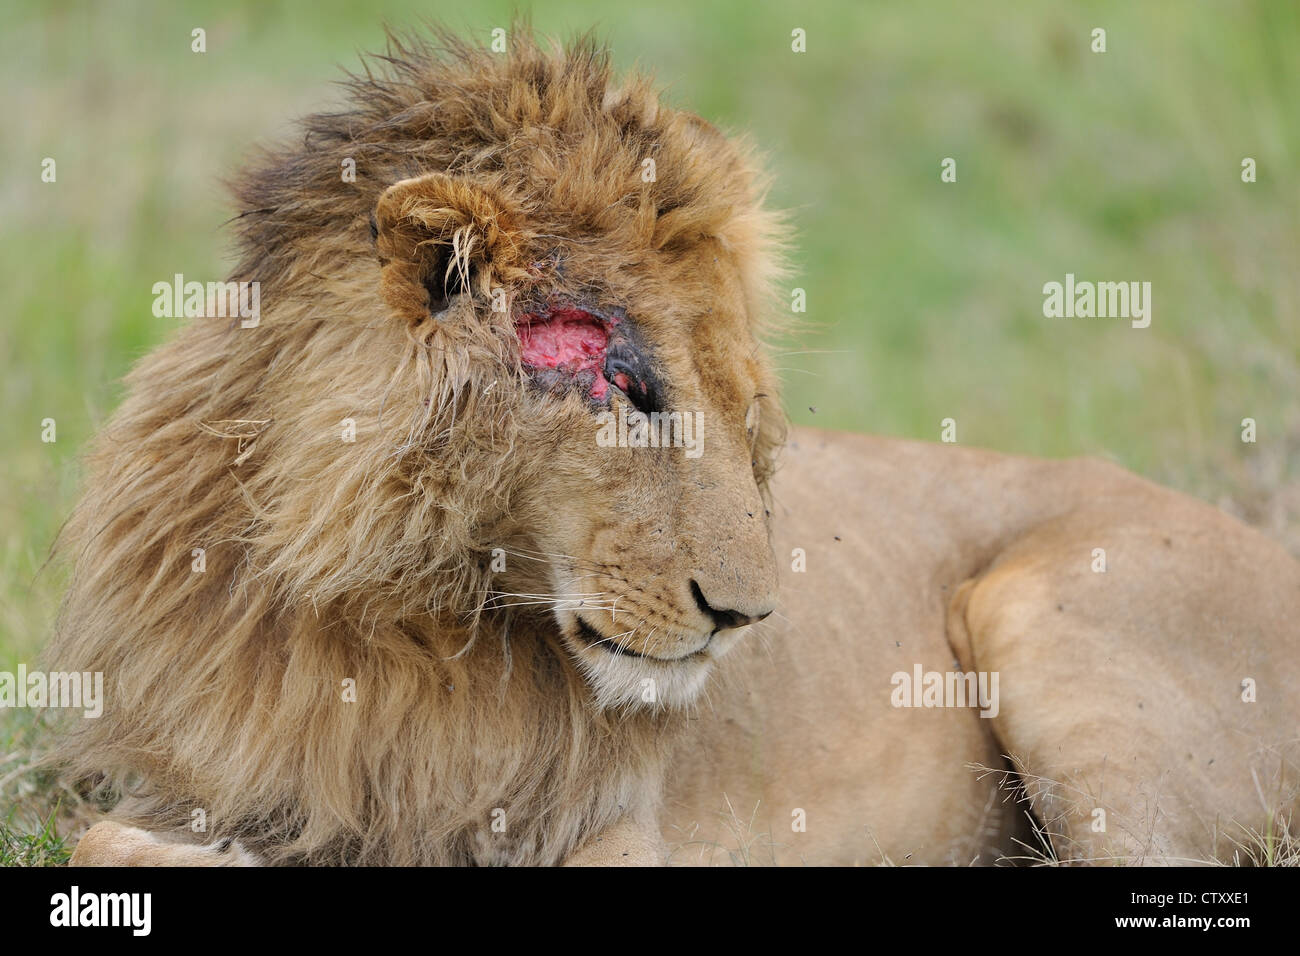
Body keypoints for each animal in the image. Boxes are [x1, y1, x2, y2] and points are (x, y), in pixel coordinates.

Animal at [51, 27, 1299, 867]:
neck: (393, 619)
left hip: (1046, 622)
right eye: (628, 384)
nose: (745, 617)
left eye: (741, 404)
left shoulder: (619, 833)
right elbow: (104, 838)